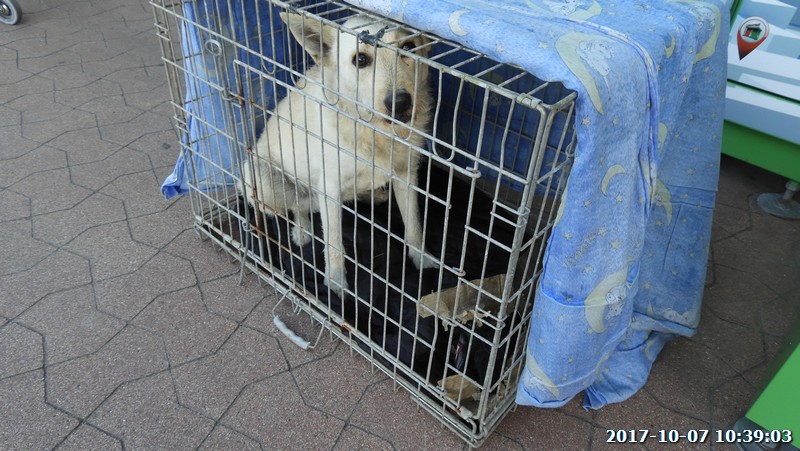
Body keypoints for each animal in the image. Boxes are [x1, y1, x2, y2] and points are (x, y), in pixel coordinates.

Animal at [240, 12, 437, 296]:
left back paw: (372, 195)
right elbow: (333, 243)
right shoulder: (329, 188)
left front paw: (422, 259)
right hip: (260, 174)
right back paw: (302, 231)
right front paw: (334, 282)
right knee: (296, 205)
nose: (399, 103)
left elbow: (414, 225)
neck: (374, 131)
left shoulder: (406, 175)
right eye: (360, 60)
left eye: (409, 48)